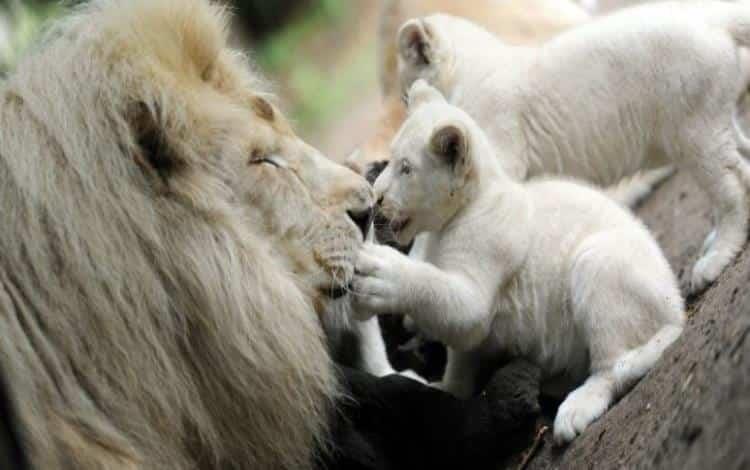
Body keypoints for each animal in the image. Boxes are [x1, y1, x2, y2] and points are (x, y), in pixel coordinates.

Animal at [356, 82, 692, 446]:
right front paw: (446, 388)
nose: (376, 196)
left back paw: (574, 410)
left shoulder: (484, 267)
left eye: (406, 168)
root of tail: (676, 308)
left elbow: (451, 302)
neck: (459, 214)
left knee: (613, 365)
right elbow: (461, 356)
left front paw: (381, 275)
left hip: (598, 263)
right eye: (390, 160)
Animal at [400, 1, 750, 292]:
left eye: (404, 95)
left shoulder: (496, 157)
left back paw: (713, 261)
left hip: (693, 133)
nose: (408, 105)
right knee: (743, 165)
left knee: (729, 192)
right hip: (709, 126)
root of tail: (713, 17)